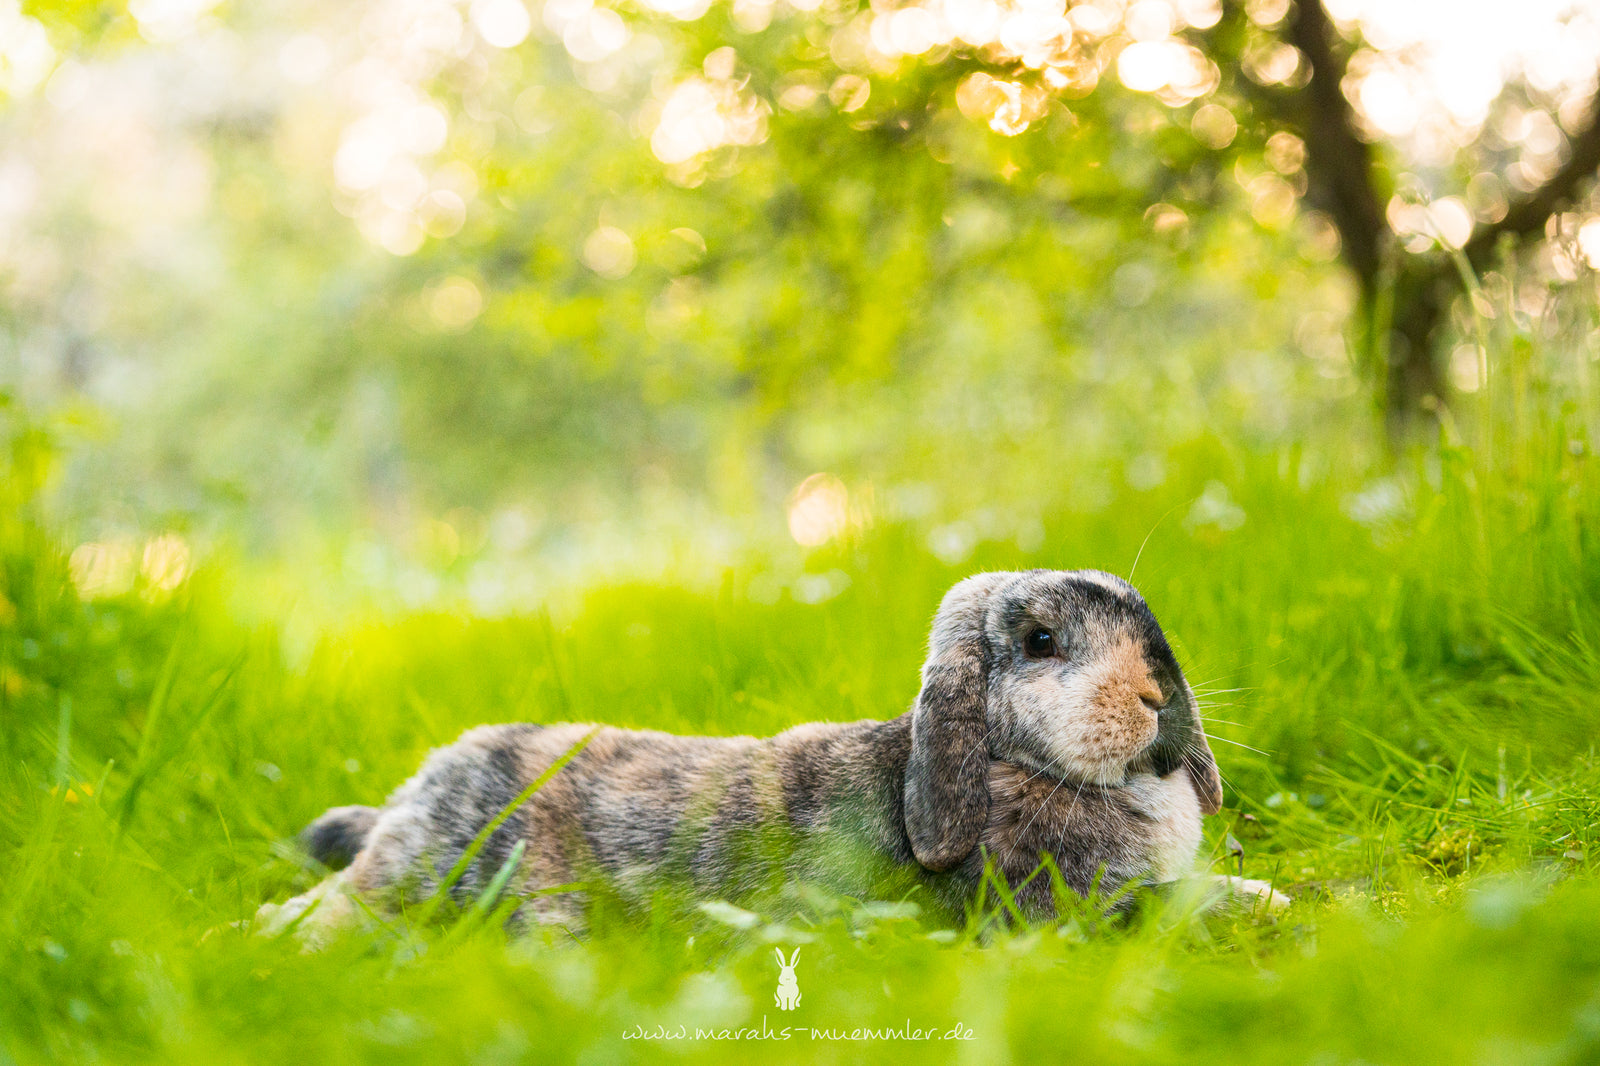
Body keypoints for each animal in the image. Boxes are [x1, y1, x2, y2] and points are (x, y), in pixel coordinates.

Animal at [257, 570, 1284, 942]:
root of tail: (422, 786)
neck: (1010, 765)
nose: (1159, 694)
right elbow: (1176, 902)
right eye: (1039, 643)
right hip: (426, 871)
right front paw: (1278, 906)